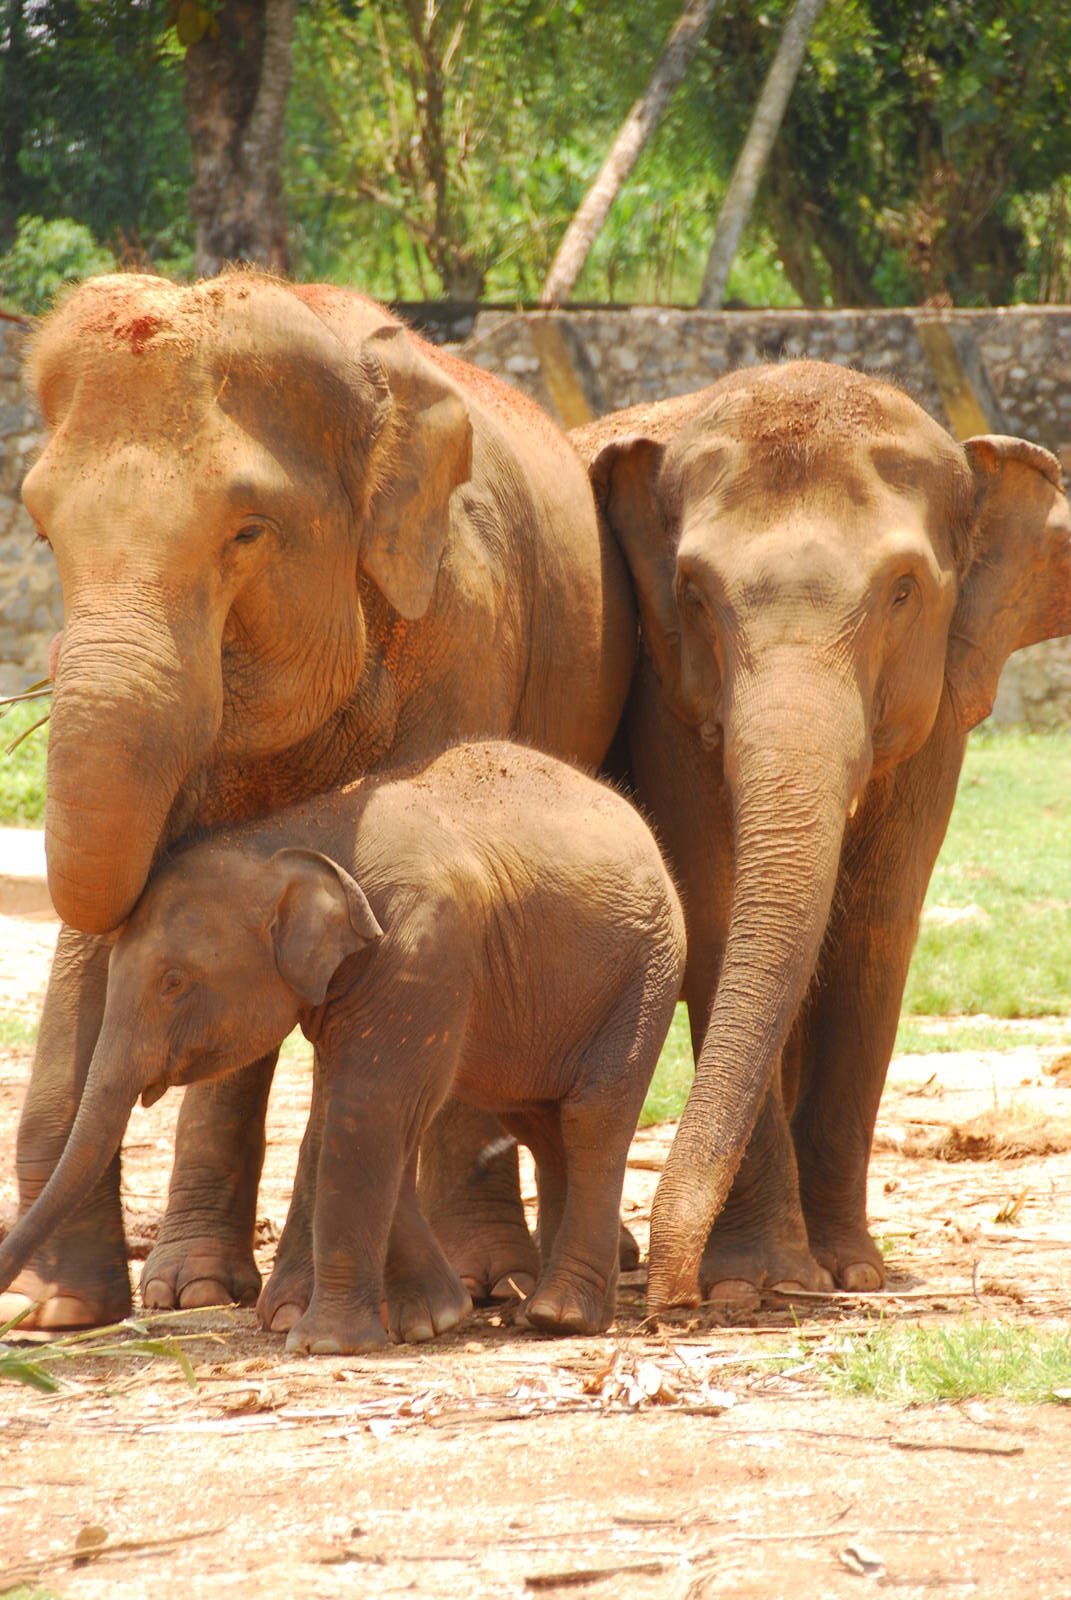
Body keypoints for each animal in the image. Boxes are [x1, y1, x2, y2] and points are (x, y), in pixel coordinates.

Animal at [0, 743, 685, 1352]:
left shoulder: (420, 947)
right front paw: (432, 1319)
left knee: (593, 1116)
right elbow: (350, 1110)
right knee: (540, 1123)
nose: (18, 1322)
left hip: (645, 972)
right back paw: (548, 1309)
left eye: (173, 982)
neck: (304, 832)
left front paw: (323, 1343)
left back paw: (559, 1316)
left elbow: (369, 1105)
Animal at [8, 270, 635, 1329]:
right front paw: (56, 1312)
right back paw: (194, 1286)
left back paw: (495, 1279)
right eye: (43, 531)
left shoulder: (463, 623)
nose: (21, 1296)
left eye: (246, 532)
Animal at [573, 361, 1071, 1313]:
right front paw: (757, 1283)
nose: (668, 1306)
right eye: (692, 594)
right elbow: (714, 901)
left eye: (904, 590)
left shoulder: (937, 698)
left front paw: (850, 1273)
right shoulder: (665, 686)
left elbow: (877, 922)